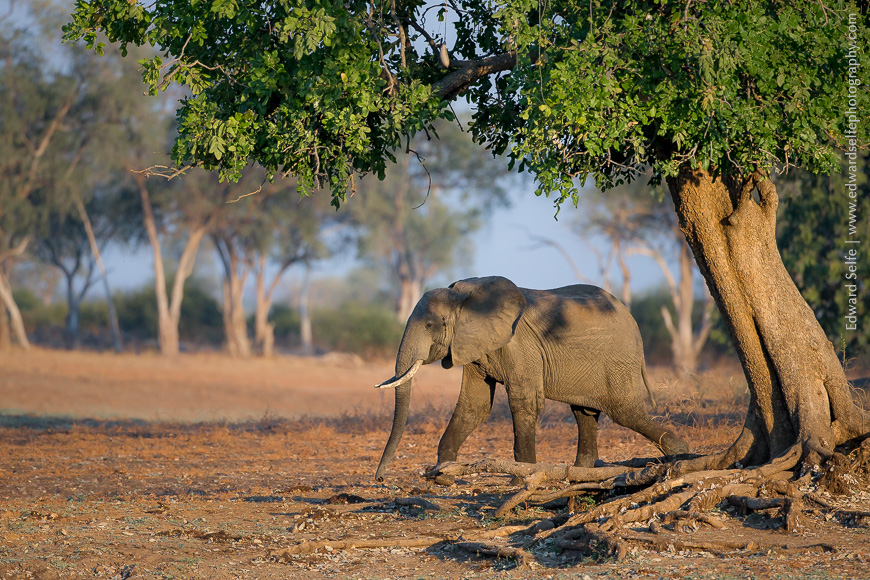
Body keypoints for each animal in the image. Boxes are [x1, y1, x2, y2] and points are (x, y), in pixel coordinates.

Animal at [374, 276, 689, 482]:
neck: (464, 296)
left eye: (430, 324)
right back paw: (579, 474)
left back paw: (681, 454)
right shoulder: (473, 346)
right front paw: (444, 475)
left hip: (618, 361)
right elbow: (474, 406)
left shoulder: (519, 345)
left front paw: (520, 480)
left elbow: (524, 402)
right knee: (584, 413)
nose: (379, 479)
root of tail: (631, 319)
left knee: (625, 412)